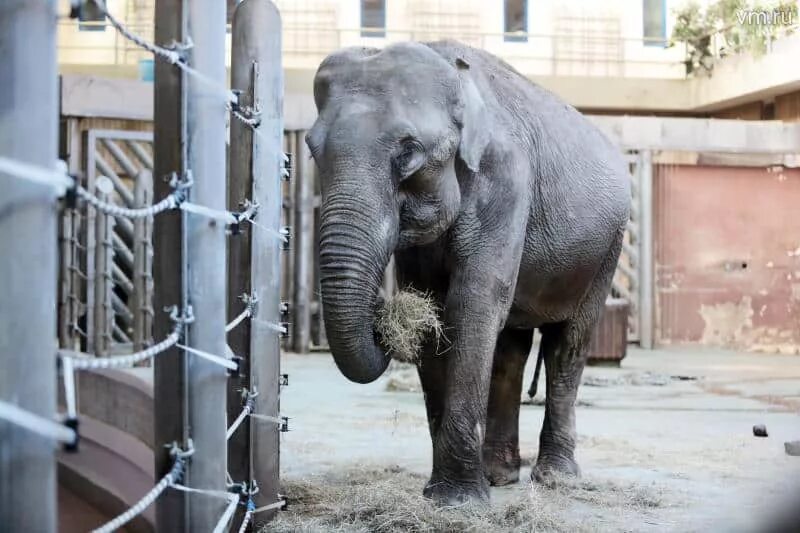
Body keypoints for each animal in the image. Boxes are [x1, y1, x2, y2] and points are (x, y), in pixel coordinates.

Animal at [306, 38, 632, 502]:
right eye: (312, 150)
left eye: (408, 152)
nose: (383, 326)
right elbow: (434, 310)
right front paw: (445, 493)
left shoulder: (506, 181)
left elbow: (471, 304)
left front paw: (457, 501)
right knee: (511, 347)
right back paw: (500, 474)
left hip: (607, 249)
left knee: (568, 343)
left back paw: (555, 478)